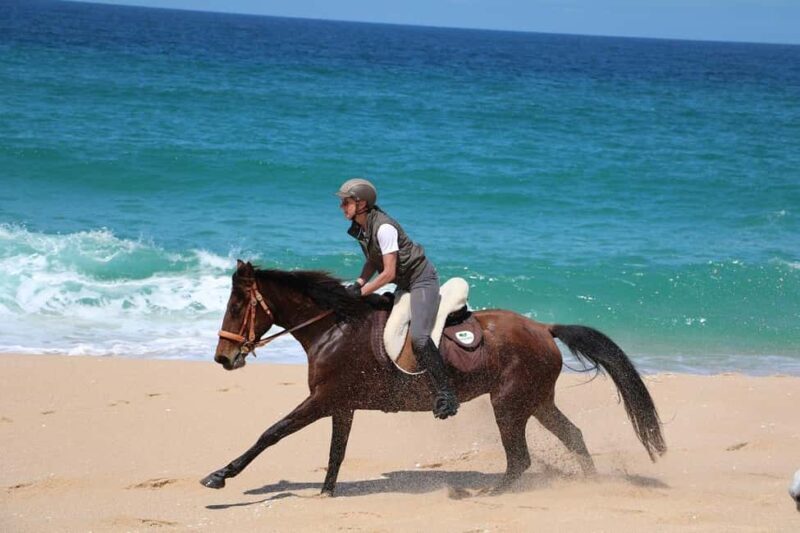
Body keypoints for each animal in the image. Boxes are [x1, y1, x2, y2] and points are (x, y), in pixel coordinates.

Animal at [201, 260, 666, 495]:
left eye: (238, 303)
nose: (223, 357)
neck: (334, 327)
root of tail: (544, 328)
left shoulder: (323, 399)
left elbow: (271, 432)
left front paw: (221, 475)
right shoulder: (341, 404)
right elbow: (336, 451)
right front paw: (327, 492)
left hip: (508, 403)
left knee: (520, 458)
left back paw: (490, 495)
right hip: (535, 401)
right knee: (573, 436)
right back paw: (592, 484)